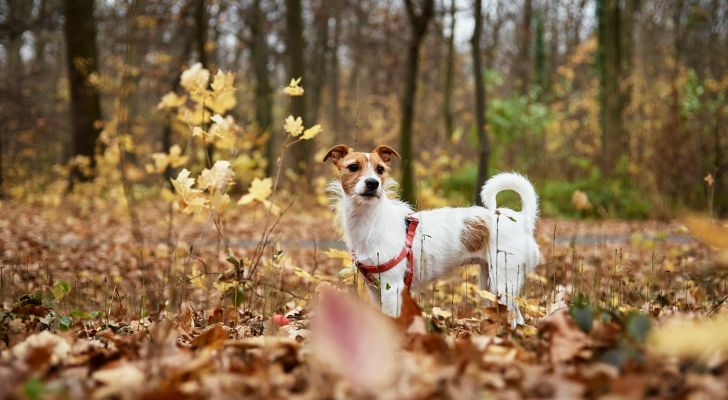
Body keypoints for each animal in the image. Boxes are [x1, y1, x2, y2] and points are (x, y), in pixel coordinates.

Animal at [326, 144, 540, 324]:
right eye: (353, 167)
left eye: (380, 169)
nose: (373, 183)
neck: (371, 221)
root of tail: (522, 221)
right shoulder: (375, 290)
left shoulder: (392, 288)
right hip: (489, 285)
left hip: (503, 283)